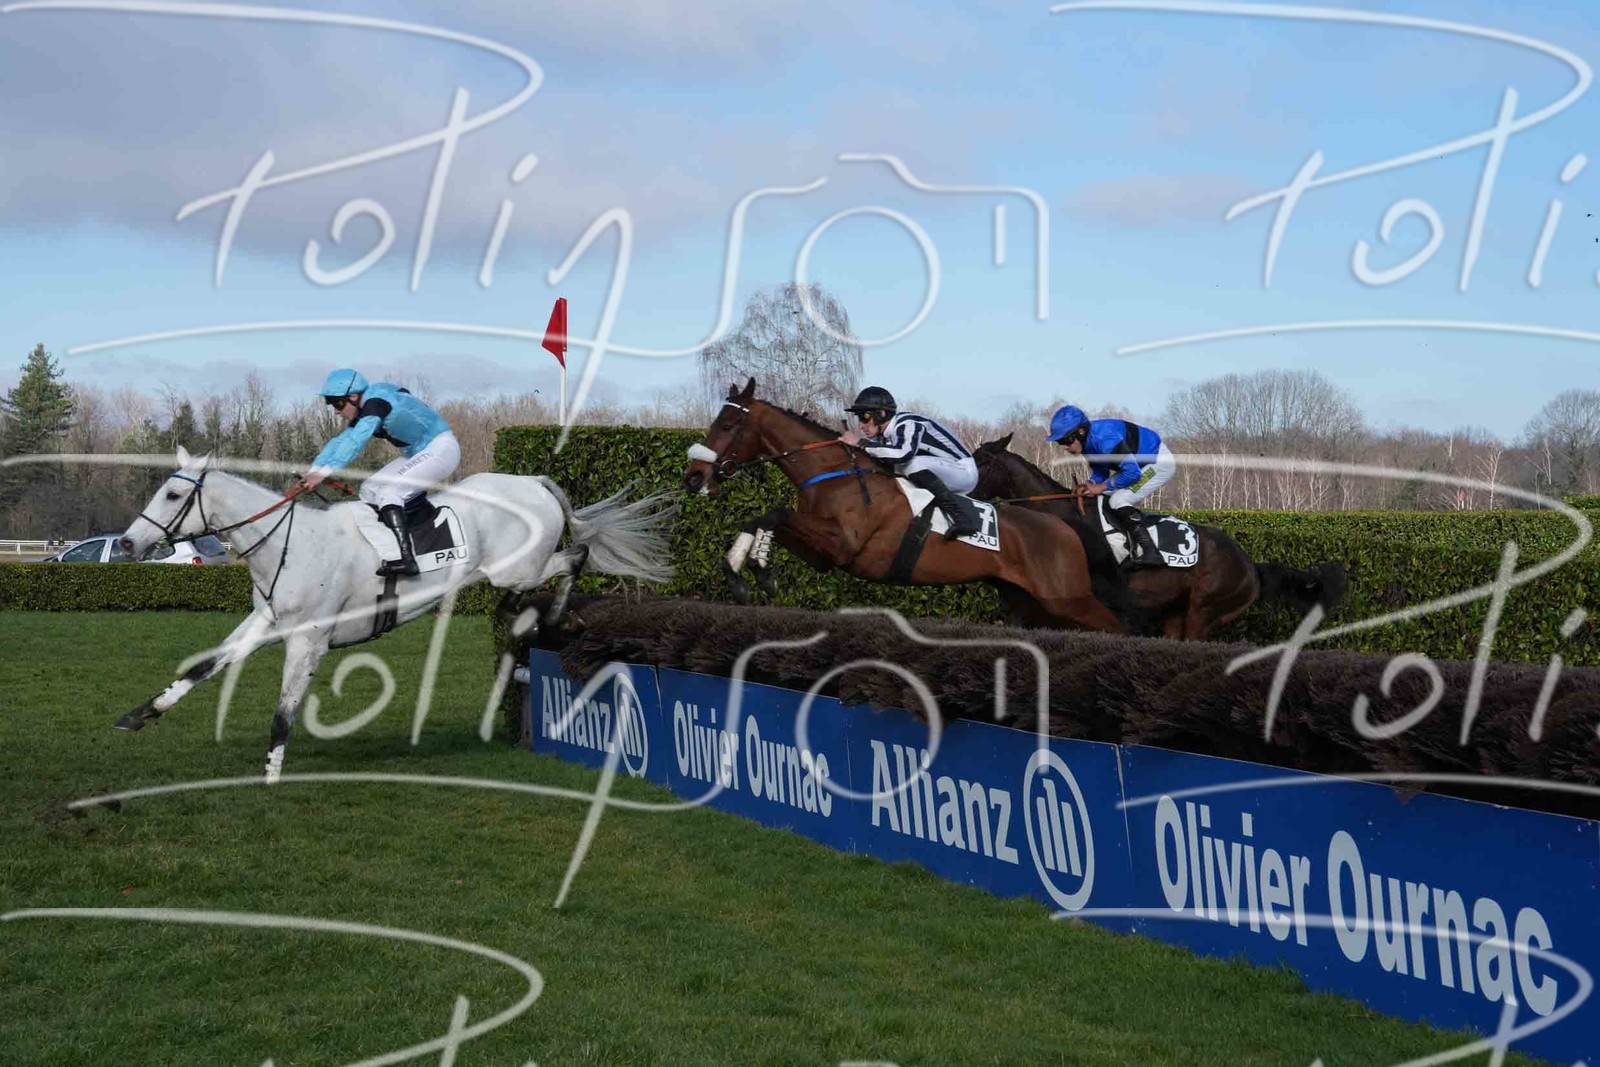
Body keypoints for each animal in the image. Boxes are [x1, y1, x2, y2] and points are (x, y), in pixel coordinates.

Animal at [115, 447, 675, 781]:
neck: (290, 547)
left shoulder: (307, 640)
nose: (126, 543)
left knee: (573, 558)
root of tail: (536, 482)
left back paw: (557, 616)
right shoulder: (266, 624)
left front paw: (271, 775)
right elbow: (203, 667)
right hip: (511, 572)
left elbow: (284, 711)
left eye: (173, 493)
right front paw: (139, 715)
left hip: (517, 566)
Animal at [680, 379, 1126, 633]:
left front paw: (751, 571)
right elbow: (764, 515)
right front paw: (746, 570)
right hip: (1032, 602)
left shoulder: (844, 545)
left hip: (1066, 597)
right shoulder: (822, 553)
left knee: (1117, 626)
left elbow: (775, 512)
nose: (694, 476)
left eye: (727, 424)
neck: (834, 475)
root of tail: (1065, 527)